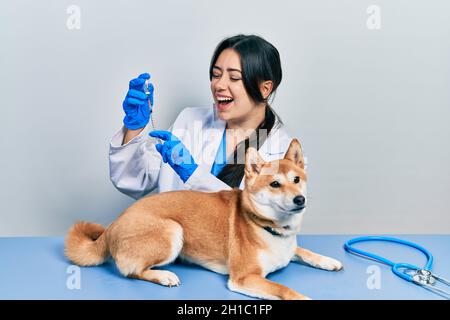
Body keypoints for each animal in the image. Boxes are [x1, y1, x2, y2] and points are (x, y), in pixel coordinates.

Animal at [65, 138, 342, 300]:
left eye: (296, 180)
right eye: (275, 184)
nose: (300, 200)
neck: (269, 227)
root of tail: (113, 225)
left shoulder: (289, 248)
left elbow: (304, 251)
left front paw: (328, 260)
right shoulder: (245, 277)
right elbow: (286, 291)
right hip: (173, 231)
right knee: (130, 270)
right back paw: (162, 276)